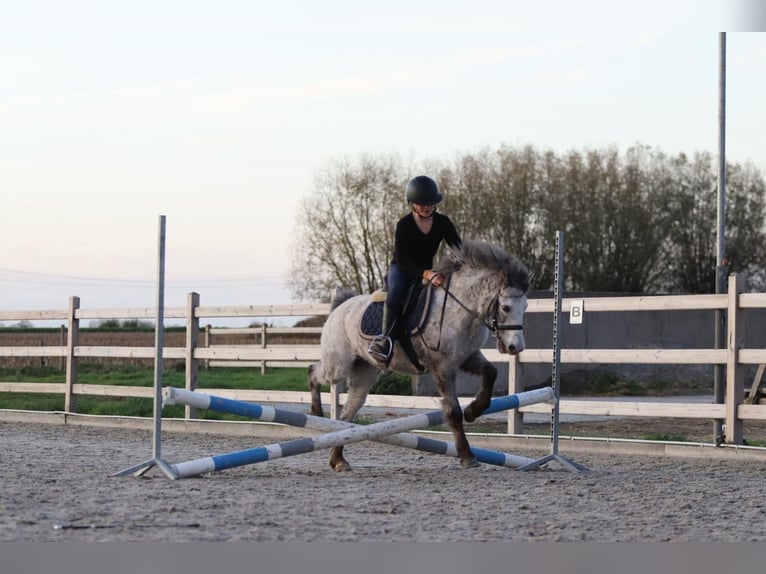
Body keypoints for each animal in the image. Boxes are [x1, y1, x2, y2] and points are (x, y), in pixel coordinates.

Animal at [308, 239, 530, 471]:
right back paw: (316, 412)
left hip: (364, 373)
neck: (458, 309)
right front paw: (467, 456)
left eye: (525, 306)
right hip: (338, 366)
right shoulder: (443, 366)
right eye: (505, 307)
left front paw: (473, 411)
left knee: (347, 414)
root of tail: (340, 307)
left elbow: (490, 373)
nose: (515, 347)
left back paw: (338, 460)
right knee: (313, 372)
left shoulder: (467, 357)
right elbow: (453, 412)